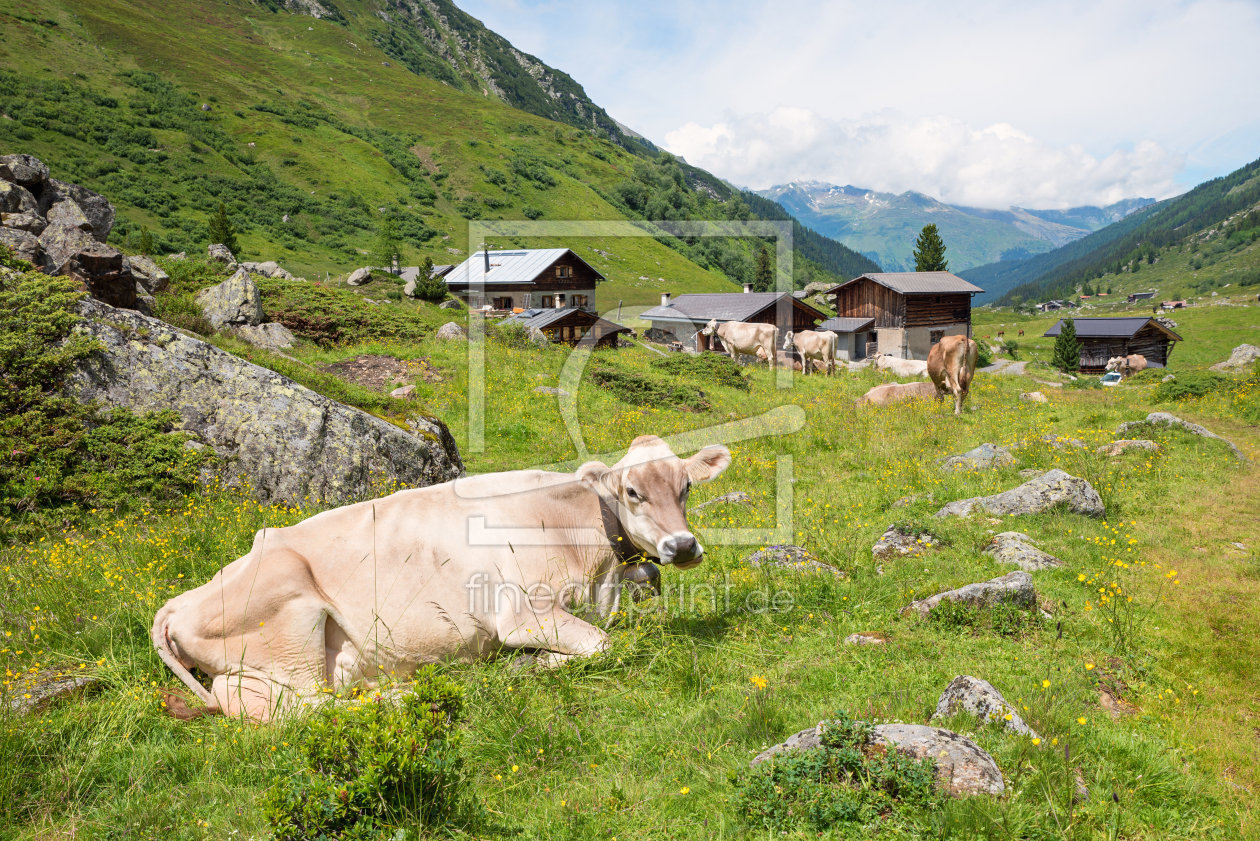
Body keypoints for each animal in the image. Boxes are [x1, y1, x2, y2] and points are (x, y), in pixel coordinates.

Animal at [152, 438, 735, 721]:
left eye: (685, 487)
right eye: (633, 491)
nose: (683, 546)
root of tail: (178, 602)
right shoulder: (524, 613)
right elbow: (601, 646)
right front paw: (527, 665)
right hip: (290, 622)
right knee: (298, 708)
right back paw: (413, 691)